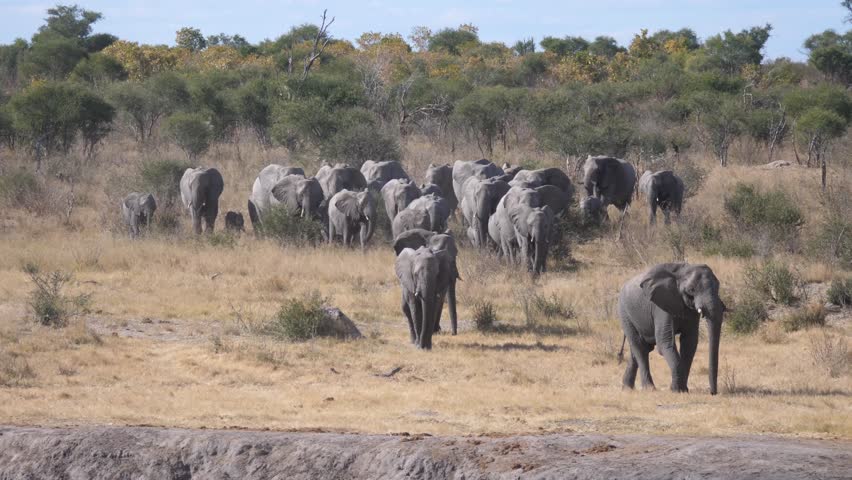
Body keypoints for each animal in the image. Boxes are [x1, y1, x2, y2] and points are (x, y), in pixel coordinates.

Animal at [618, 263, 726, 395]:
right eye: (691, 290)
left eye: (718, 287)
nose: (712, 393)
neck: (681, 272)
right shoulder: (661, 305)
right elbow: (665, 342)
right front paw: (676, 390)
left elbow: (689, 343)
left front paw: (683, 390)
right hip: (625, 313)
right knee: (640, 347)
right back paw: (649, 389)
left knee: (642, 348)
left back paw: (627, 388)